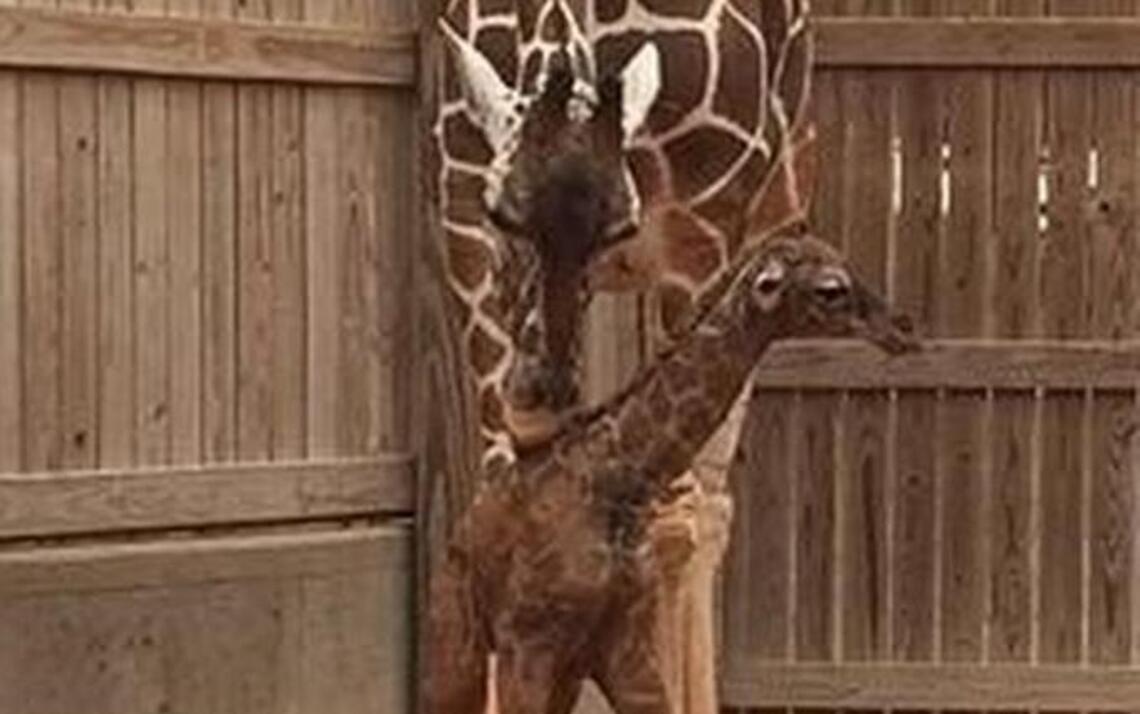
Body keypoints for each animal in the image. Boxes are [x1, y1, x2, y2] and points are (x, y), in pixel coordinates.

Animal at [425, 233, 918, 714]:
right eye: (831, 289)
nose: (904, 328)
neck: (624, 479)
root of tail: (459, 532)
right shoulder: (528, 643)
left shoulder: (623, 642)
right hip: (461, 641)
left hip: (562, 671)